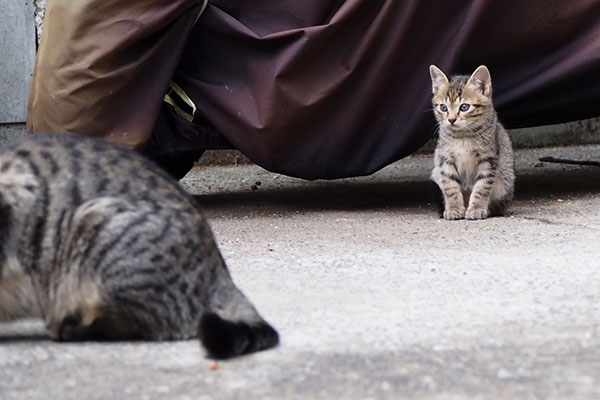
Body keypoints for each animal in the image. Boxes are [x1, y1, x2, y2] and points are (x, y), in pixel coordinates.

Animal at [428, 66, 512, 222]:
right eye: (443, 107)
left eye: (464, 107)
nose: (451, 120)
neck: (463, 137)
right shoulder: (445, 159)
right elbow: (450, 186)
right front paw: (454, 208)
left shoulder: (488, 159)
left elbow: (482, 187)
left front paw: (477, 208)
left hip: (504, 183)